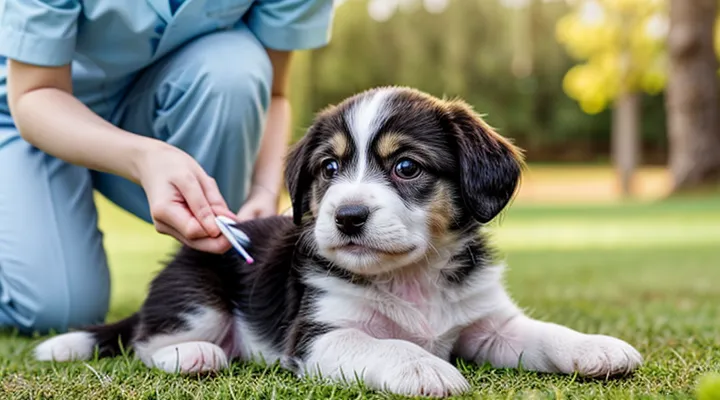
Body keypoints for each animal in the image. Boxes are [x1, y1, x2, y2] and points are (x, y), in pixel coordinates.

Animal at [33, 86, 644, 396]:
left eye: (405, 166)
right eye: (329, 168)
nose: (347, 217)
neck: (410, 277)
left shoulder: (487, 324)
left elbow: (543, 332)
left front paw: (596, 347)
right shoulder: (319, 335)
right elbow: (382, 344)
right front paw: (424, 368)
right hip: (198, 296)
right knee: (145, 341)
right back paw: (197, 355)